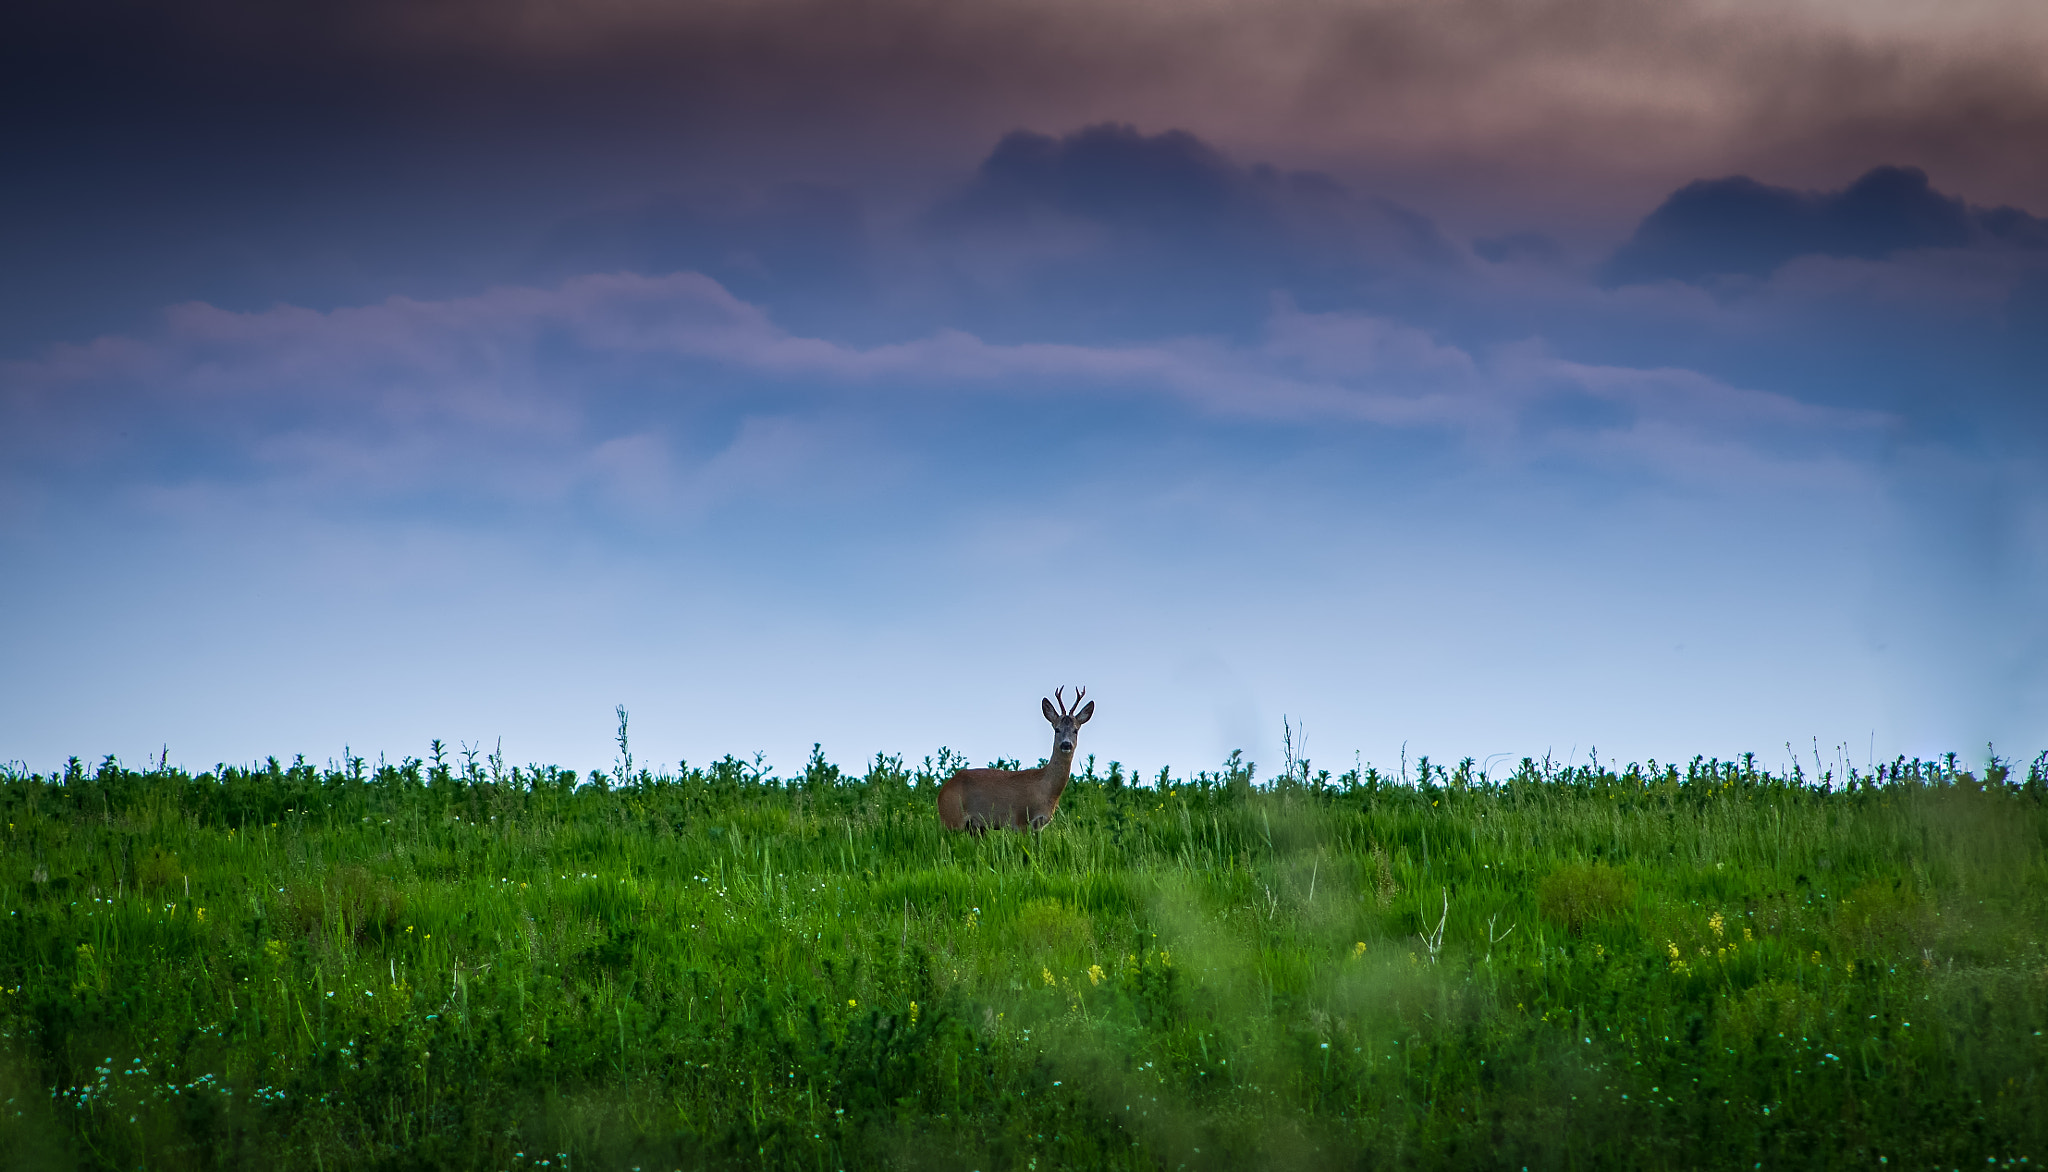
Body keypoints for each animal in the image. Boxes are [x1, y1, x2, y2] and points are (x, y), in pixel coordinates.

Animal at [937, 688, 1097, 831]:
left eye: (1075, 730)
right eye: (1056, 729)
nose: (1066, 744)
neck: (1046, 788)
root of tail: (943, 790)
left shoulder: (1038, 826)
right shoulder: (1021, 820)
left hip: (976, 828)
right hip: (952, 818)